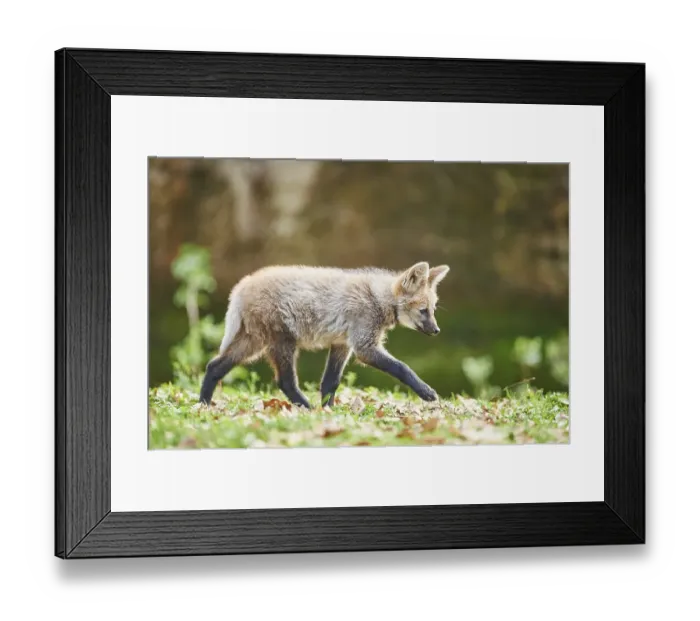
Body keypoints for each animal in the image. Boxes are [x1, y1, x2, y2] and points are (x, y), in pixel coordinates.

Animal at [199, 261, 450, 408]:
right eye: (423, 311)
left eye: (433, 310)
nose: (437, 330)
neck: (378, 299)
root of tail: (242, 284)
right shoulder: (364, 347)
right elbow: (402, 368)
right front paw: (427, 392)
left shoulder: (342, 344)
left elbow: (331, 381)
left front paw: (328, 411)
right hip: (281, 343)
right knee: (285, 381)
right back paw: (306, 408)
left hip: (253, 344)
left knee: (214, 366)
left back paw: (203, 404)